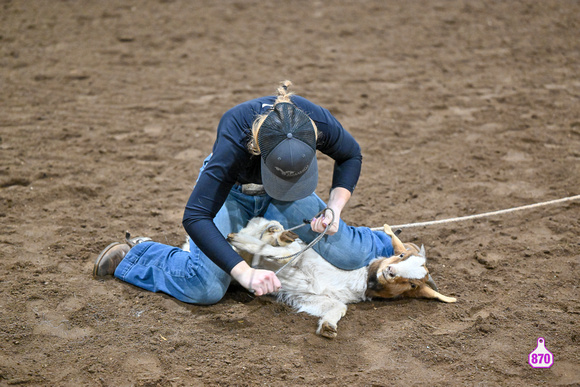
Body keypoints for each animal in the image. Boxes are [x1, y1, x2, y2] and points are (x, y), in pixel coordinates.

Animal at [224, 218, 456, 340]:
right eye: (401, 255)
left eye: (413, 284)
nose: (389, 271)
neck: (356, 278)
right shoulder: (301, 256)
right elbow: (278, 253)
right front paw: (239, 239)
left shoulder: (305, 295)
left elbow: (338, 307)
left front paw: (328, 326)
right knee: (261, 228)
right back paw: (273, 233)